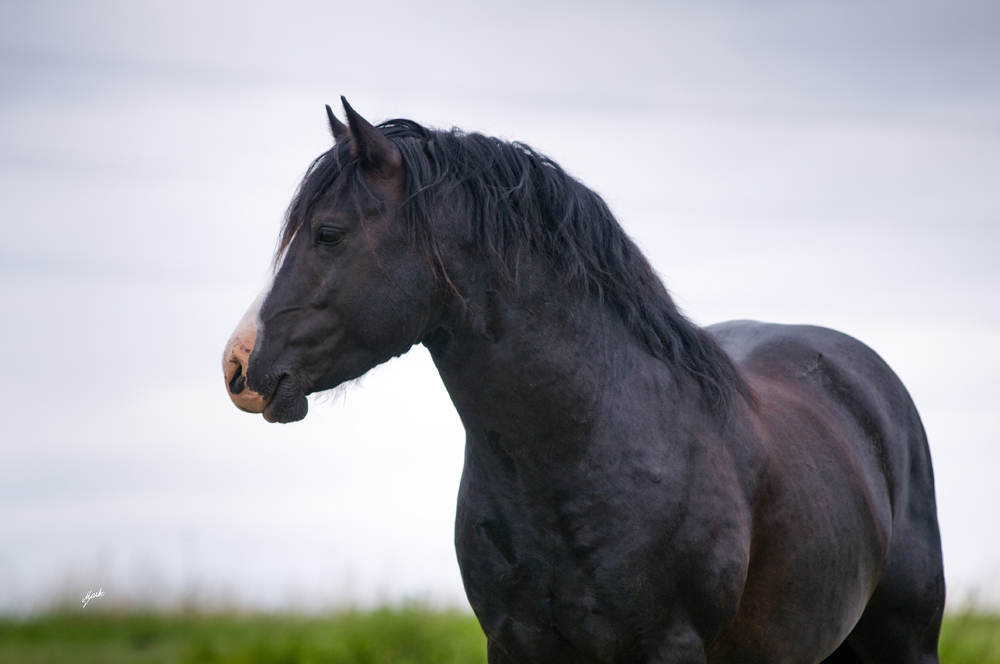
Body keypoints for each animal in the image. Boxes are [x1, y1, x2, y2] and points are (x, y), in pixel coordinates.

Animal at [221, 100, 944, 664]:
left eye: (328, 233)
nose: (238, 368)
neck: (591, 444)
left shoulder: (672, 646)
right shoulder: (513, 644)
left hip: (907, 641)